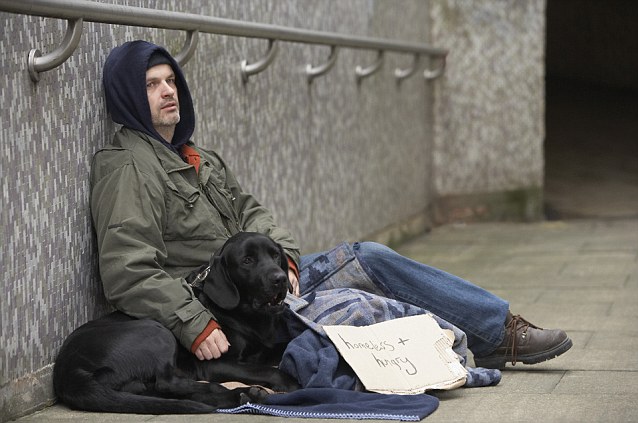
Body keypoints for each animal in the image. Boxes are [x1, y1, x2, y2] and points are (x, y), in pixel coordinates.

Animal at [53, 232, 300, 414]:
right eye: (247, 261)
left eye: (275, 255)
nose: (280, 278)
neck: (252, 318)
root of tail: (67, 372)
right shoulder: (216, 362)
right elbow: (265, 370)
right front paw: (291, 382)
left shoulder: (266, 346)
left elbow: (287, 343)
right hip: (157, 333)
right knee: (168, 382)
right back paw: (241, 393)